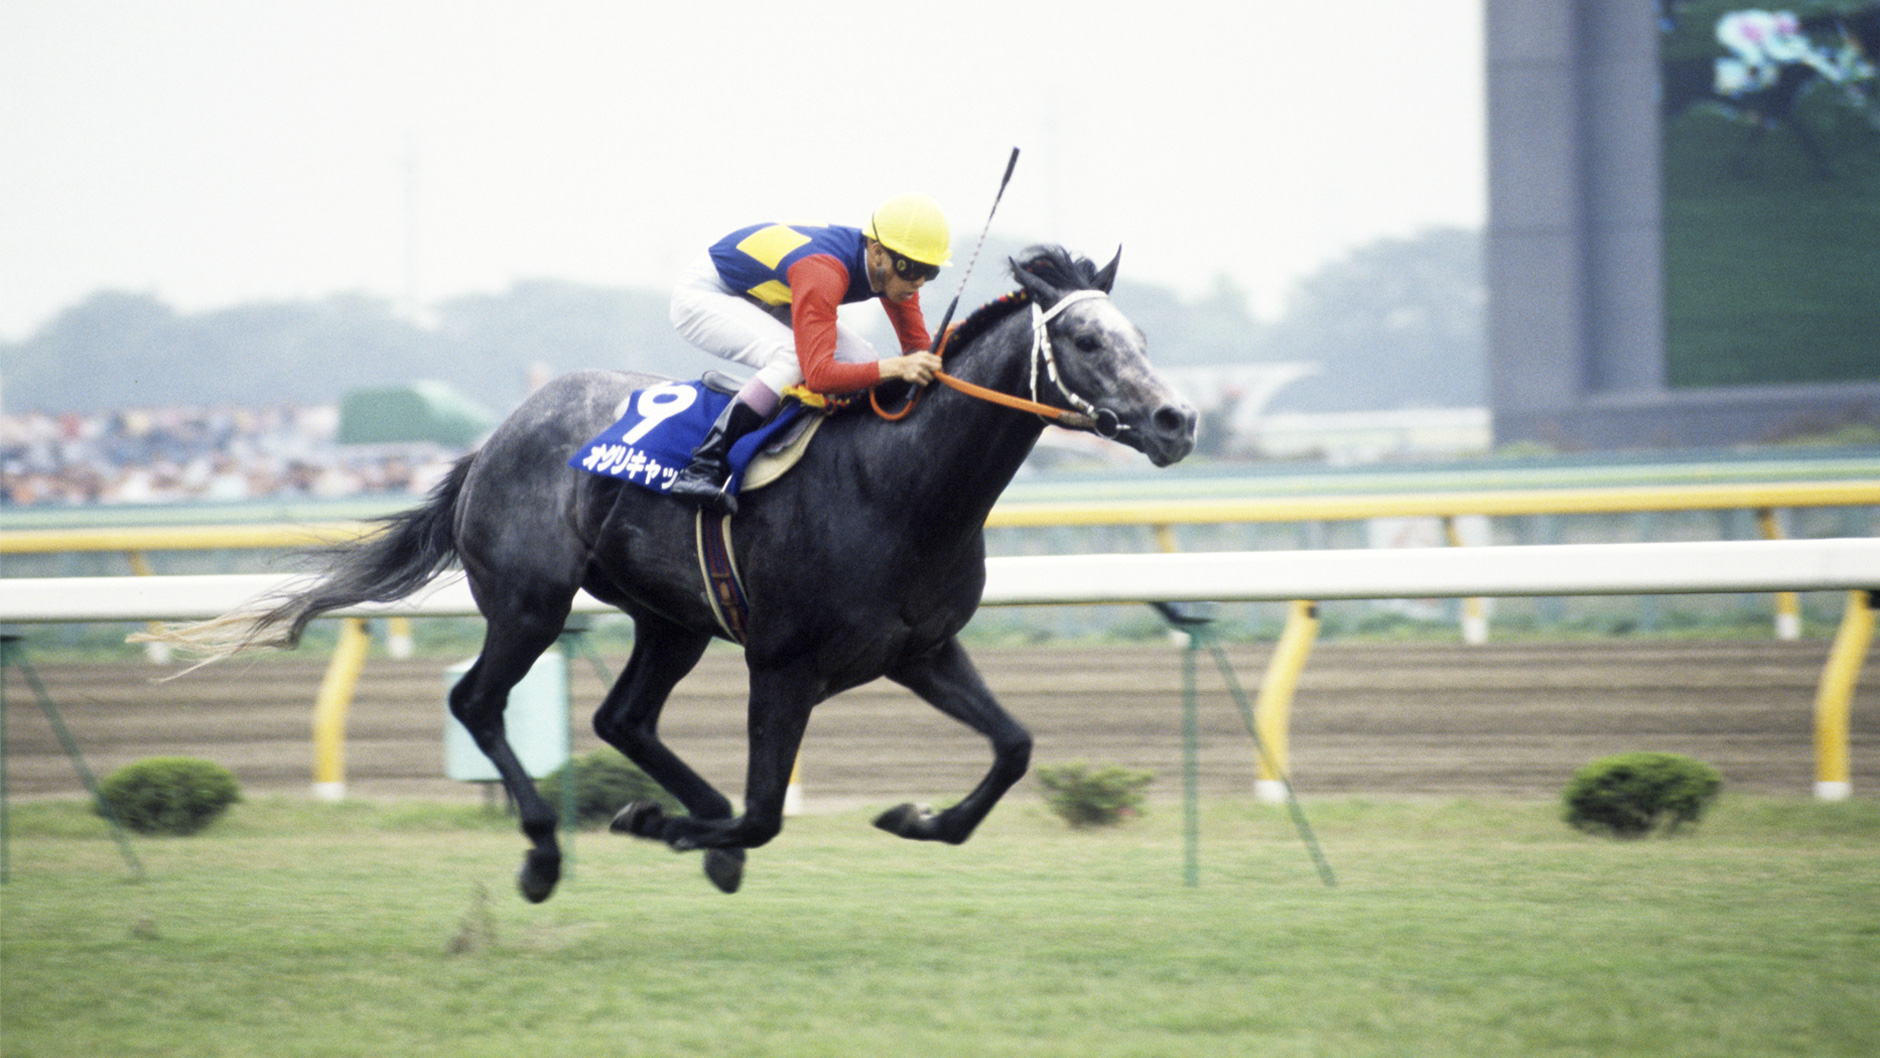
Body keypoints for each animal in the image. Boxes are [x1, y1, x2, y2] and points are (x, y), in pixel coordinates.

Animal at [159, 245, 1197, 901]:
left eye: (1142, 336)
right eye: (1090, 342)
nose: (1178, 420)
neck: (901, 485)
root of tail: (495, 437)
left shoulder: (921, 650)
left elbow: (1014, 745)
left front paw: (916, 817)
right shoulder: (784, 666)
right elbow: (767, 814)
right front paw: (662, 829)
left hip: (673, 619)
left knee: (622, 718)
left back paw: (680, 814)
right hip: (531, 604)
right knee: (478, 703)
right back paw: (547, 852)